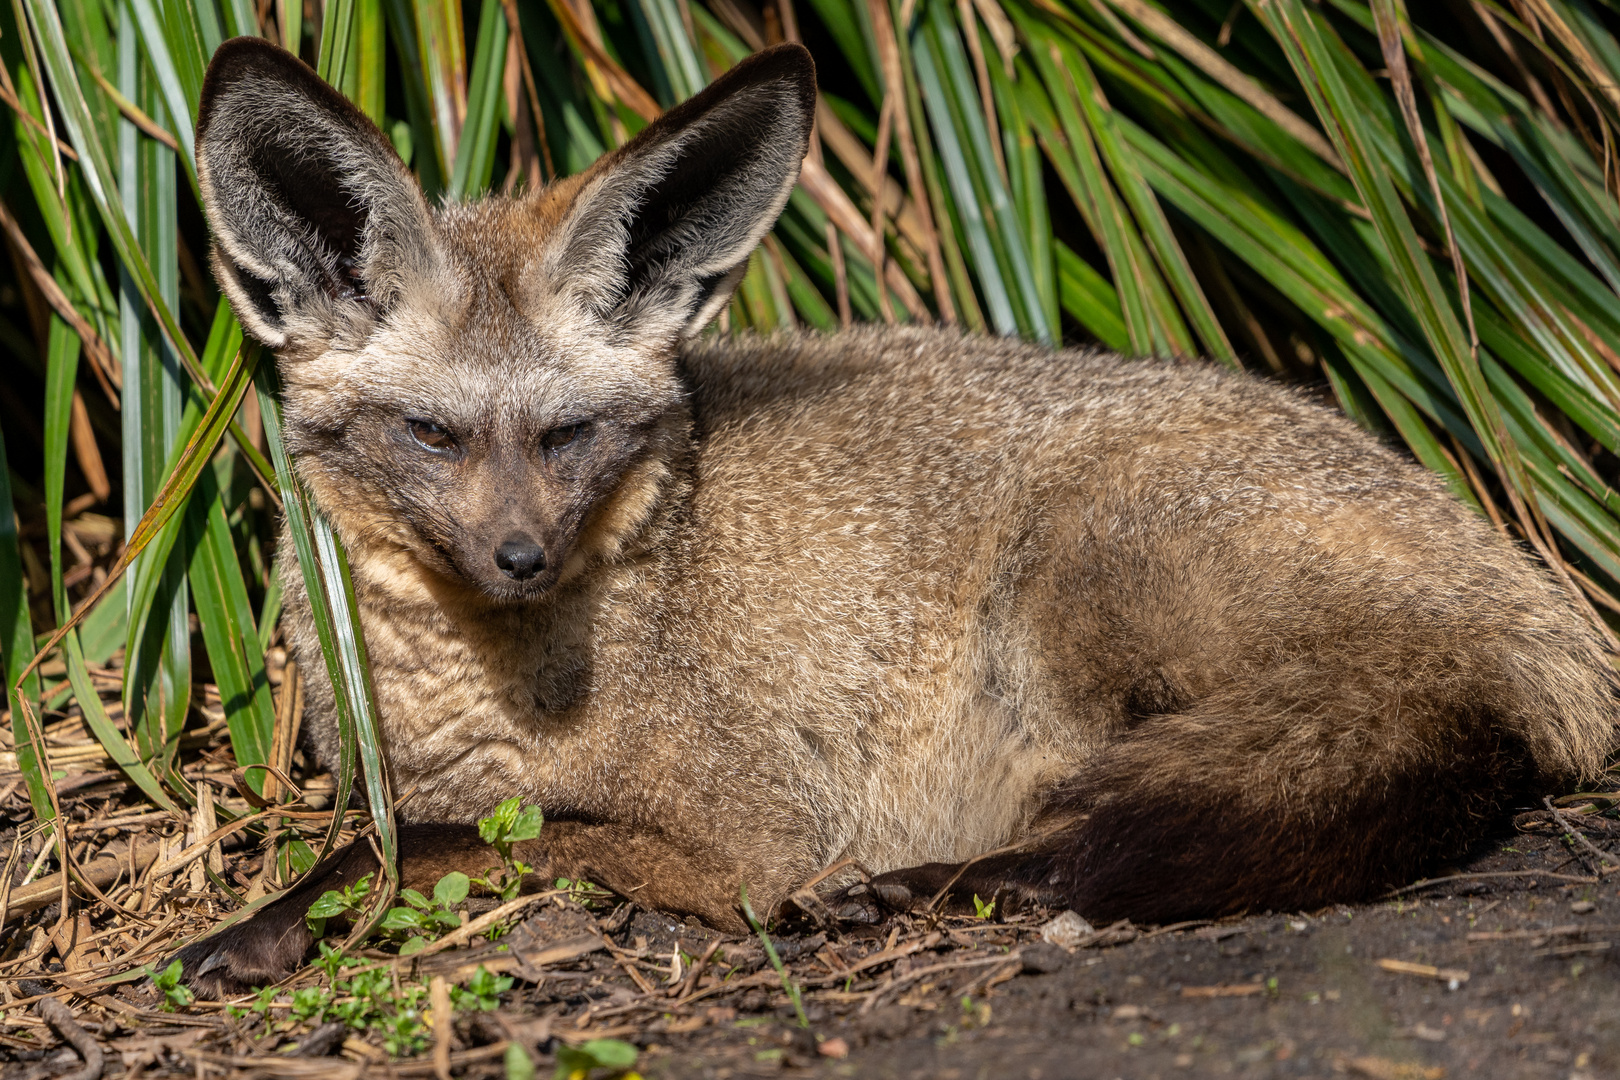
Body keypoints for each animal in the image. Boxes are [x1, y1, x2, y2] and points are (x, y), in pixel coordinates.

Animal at [170, 35, 1613, 997]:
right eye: (435, 434)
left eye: (569, 434)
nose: (521, 558)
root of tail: (1543, 606)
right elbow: (401, 836)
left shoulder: (746, 835)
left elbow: (457, 846)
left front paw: (272, 923)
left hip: (1078, 595)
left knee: (1185, 823)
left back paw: (936, 891)